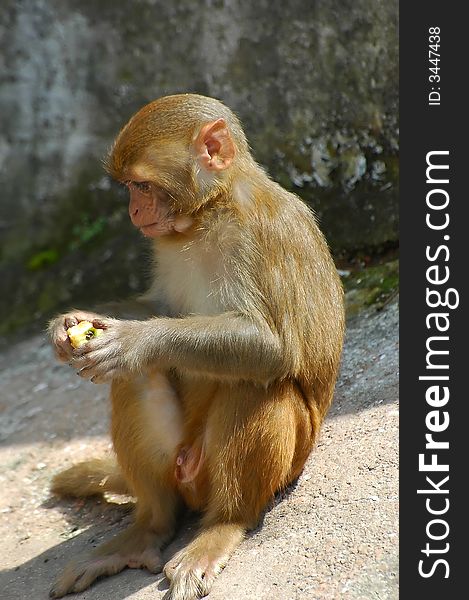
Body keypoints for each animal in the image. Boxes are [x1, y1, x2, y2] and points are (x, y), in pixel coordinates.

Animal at [48, 94, 344, 600]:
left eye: (141, 185)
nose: (134, 211)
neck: (208, 214)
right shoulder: (166, 243)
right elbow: (158, 306)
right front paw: (67, 325)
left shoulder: (262, 236)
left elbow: (272, 349)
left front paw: (134, 341)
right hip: (176, 463)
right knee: (137, 385)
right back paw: (147, 528)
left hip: (272, 466)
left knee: (259, 384)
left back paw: (223, 525)